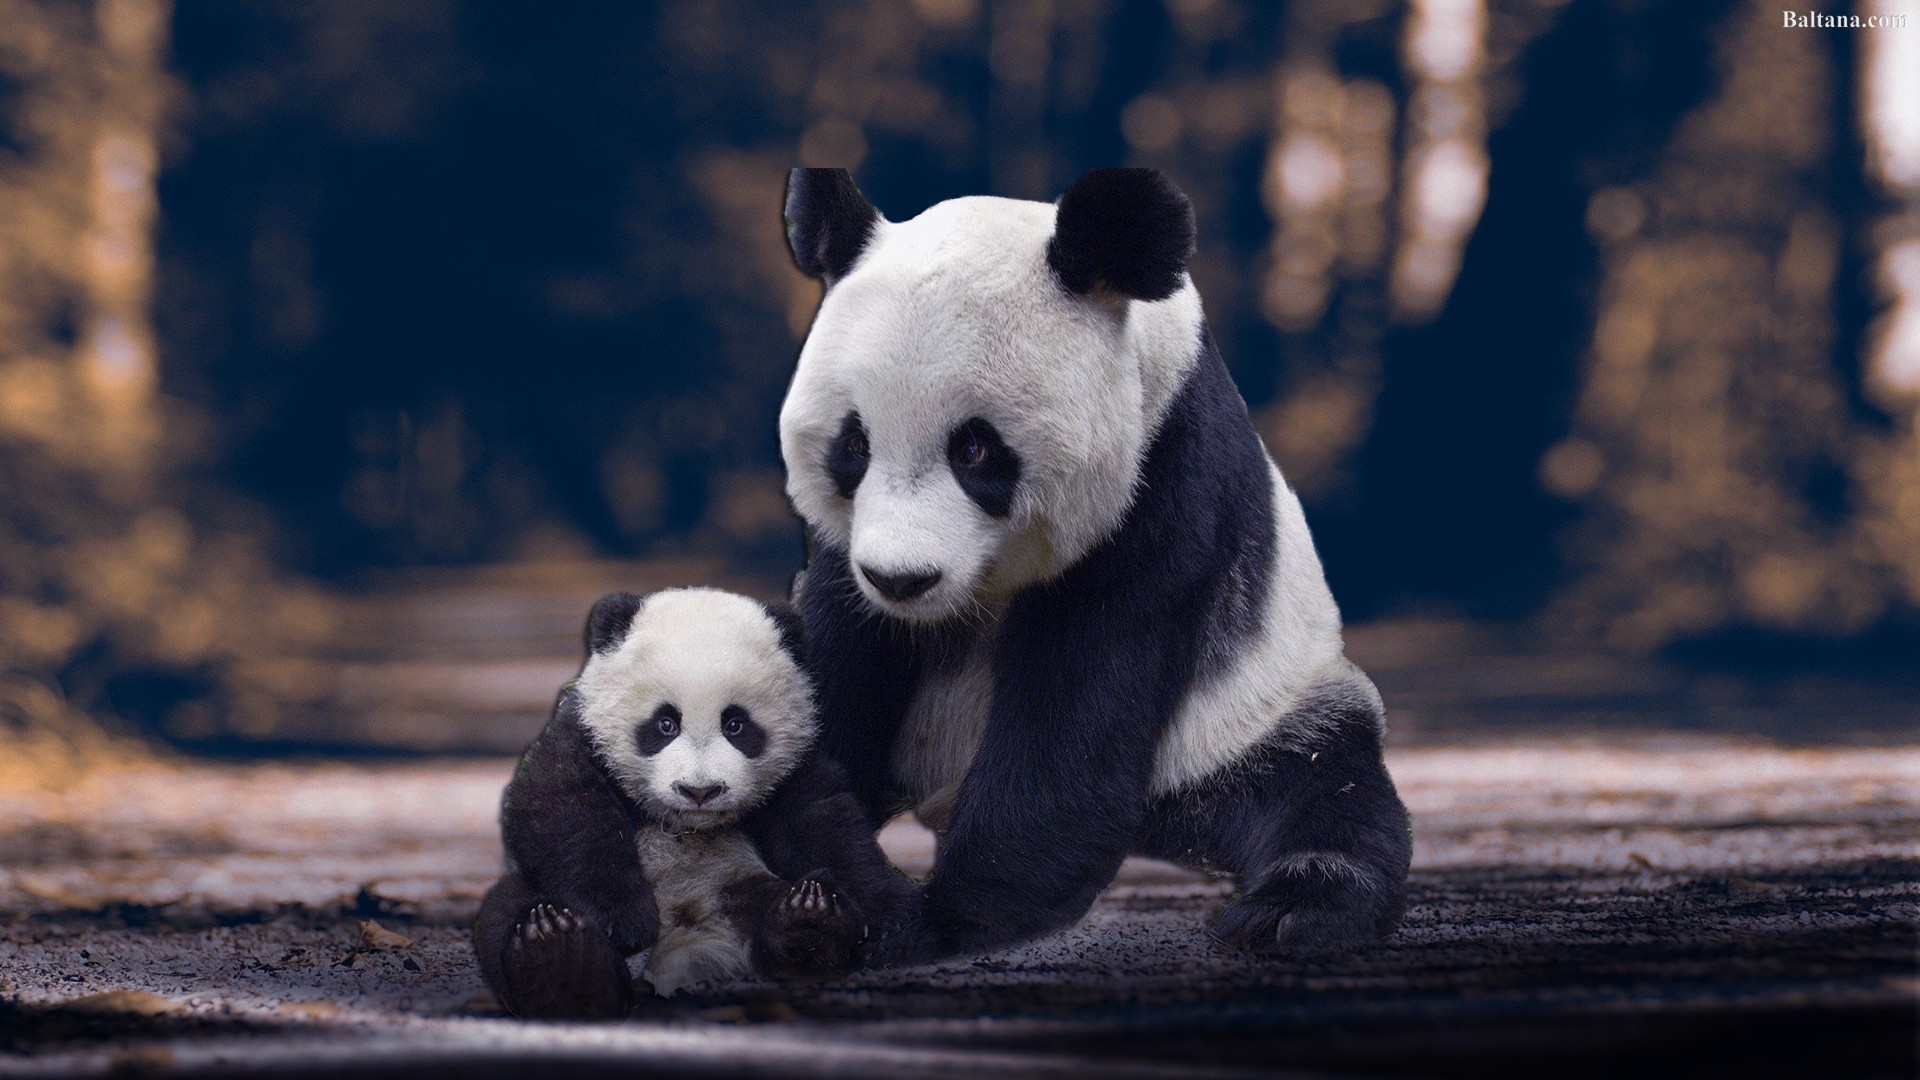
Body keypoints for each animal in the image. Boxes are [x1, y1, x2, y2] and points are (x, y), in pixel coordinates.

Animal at [471, 587, 916, 1019]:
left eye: (735, 724)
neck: (686, 825)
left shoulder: (795, 764)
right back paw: (560, 959)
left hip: (735, 883)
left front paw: (889, 909)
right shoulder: (582, 734)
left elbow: (823, 821)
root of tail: (690, 940)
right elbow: (562, 807)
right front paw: (620, 920)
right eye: (665, 723)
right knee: (508, 909)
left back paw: (812, 922)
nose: (700, 791)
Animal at [778, 168, 1414, 966]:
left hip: (1250, 713)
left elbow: (1081, 700)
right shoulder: (847, 554)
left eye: (975, 449)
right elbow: (837, 662)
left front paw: (933, 918)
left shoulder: (1162, 480)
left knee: (1324, 788)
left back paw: (1292, 909)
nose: (902, 580)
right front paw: (823, 897)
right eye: (854, 446)